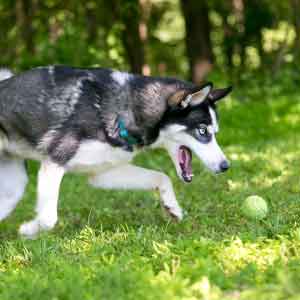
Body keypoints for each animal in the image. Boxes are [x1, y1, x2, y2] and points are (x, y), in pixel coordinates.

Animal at [0, 65, 232, 237]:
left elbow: (161, 177)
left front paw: (171, 206)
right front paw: (28, 230)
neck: (128, 108)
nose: (225, 166)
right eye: (202, 131)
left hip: (14, 188)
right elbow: (48, 218)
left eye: (215, 132)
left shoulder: (101, 172)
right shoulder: (54, 162)